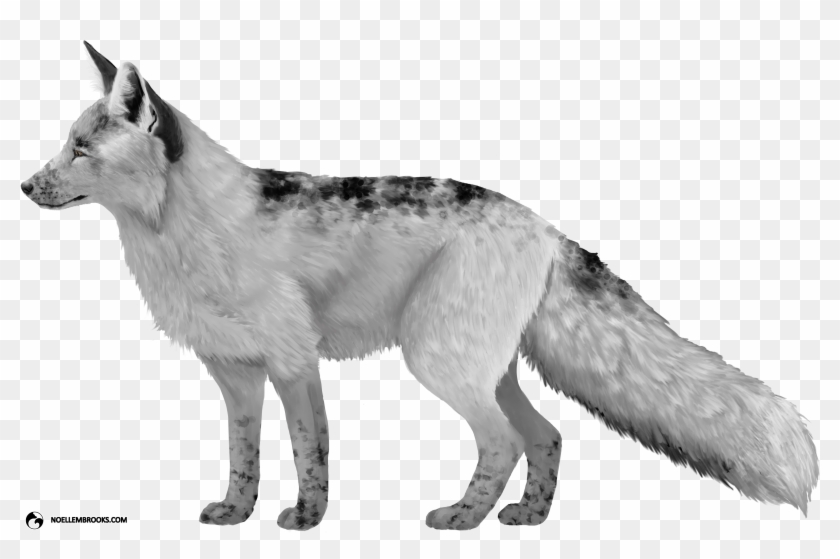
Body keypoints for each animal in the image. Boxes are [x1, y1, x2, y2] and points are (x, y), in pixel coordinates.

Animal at [20, 42, 818, 530]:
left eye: (81, 149)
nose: (25, 185)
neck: (188, 233)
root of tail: (544, 226)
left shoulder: (293, 361)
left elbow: (309, 451)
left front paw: (306, 520)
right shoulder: (235, 374)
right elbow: (244, 457)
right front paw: (235, 513)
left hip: (438, 361)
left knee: (503, 441)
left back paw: (462, 519)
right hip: (483, 369)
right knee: (548, 435)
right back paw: (527, 519)